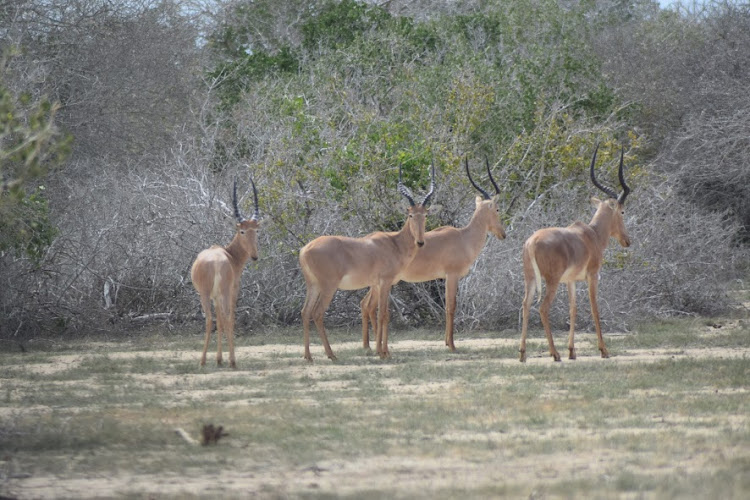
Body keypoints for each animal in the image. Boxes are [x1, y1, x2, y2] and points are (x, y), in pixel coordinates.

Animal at [191, 178, 262, 370]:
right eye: (242, 231)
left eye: (256, 230)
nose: (254, 256)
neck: (229, 255)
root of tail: (215, 262)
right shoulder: (232, 291)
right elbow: (229, 319)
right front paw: (224, 358)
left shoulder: (214, 296)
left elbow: (220, 321)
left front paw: (218, 358)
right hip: (224, 292)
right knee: (226, 317)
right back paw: (232, 360)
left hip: (205, 294)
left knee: (210, 319)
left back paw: (202, 360)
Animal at [302, 166, 440, 362]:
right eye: (410, 214)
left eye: (426, 215)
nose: (420, 242)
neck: (394, 243)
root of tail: (306, 249)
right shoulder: (385, 282)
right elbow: (383, 314)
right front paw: (382, 353)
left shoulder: (380, 284)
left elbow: (381, 313)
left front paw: (384, 351)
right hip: (328, 286)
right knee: (317, 313)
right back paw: (331, 354)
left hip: (312, 285)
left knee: (305, 312)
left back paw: (308, 356)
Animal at [360, 156, 512, 352]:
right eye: (497, 209)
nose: (503, 234)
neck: (463, 237)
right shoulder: (452, 275)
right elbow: (451, 307)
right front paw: (452, 345)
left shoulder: (445, 277)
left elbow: (447, 306)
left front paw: (446, 342)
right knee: (369, 306)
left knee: (366, 305)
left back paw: (368, 346)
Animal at [524, 145, 636, 364]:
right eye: (623, 211)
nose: (627, 240)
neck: (592, 234)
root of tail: (532, 241)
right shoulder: (592, 276)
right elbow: (594, 308)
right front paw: (604, 350)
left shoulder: (571, 281)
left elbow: (573, 310)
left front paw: (572, 351)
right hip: (551, 281)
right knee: (542, 308)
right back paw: (554, 354)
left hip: (531, 279)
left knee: (525, 305)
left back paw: (522, 354)